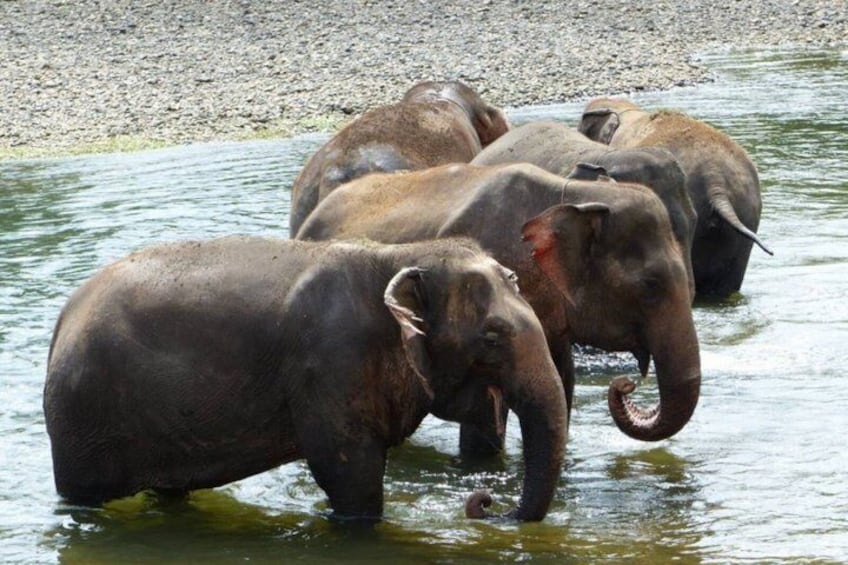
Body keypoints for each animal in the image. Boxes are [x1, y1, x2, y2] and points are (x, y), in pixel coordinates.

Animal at [43, 236, 567, 522]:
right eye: (492, 337)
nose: (484, 502)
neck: (399, 254)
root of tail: (63, 320)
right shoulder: (332, 361)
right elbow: (348, 471)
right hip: (83, 421)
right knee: (85, 497)